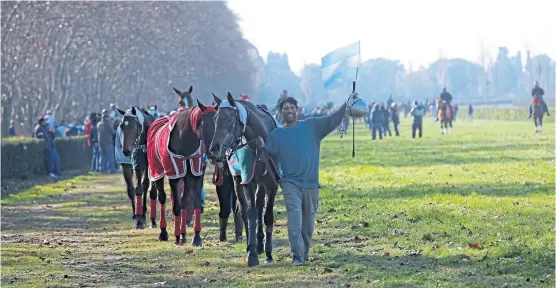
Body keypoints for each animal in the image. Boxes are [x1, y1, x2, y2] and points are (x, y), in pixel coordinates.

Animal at [147, 85, 216, 245]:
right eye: (205, 124)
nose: (214, 149)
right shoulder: (174, 172)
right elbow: (176, 204)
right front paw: (177, 236)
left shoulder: (195, 171)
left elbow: (192, 200)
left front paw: (195, 237)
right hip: (157, 170)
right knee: (162, 197)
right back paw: (163, 232)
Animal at [207, 93, 280, 266]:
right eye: (215, 119)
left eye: (228, 119)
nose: (214, 149)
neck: (259, 143)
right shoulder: (247, 180)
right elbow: (250, 212)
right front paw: (252, 253)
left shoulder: (271, 183)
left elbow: (267, 215)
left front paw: (268, 252)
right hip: (238, 181)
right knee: (246, 210)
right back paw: (251, 245)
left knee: (259, 206)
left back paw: (260, 244)